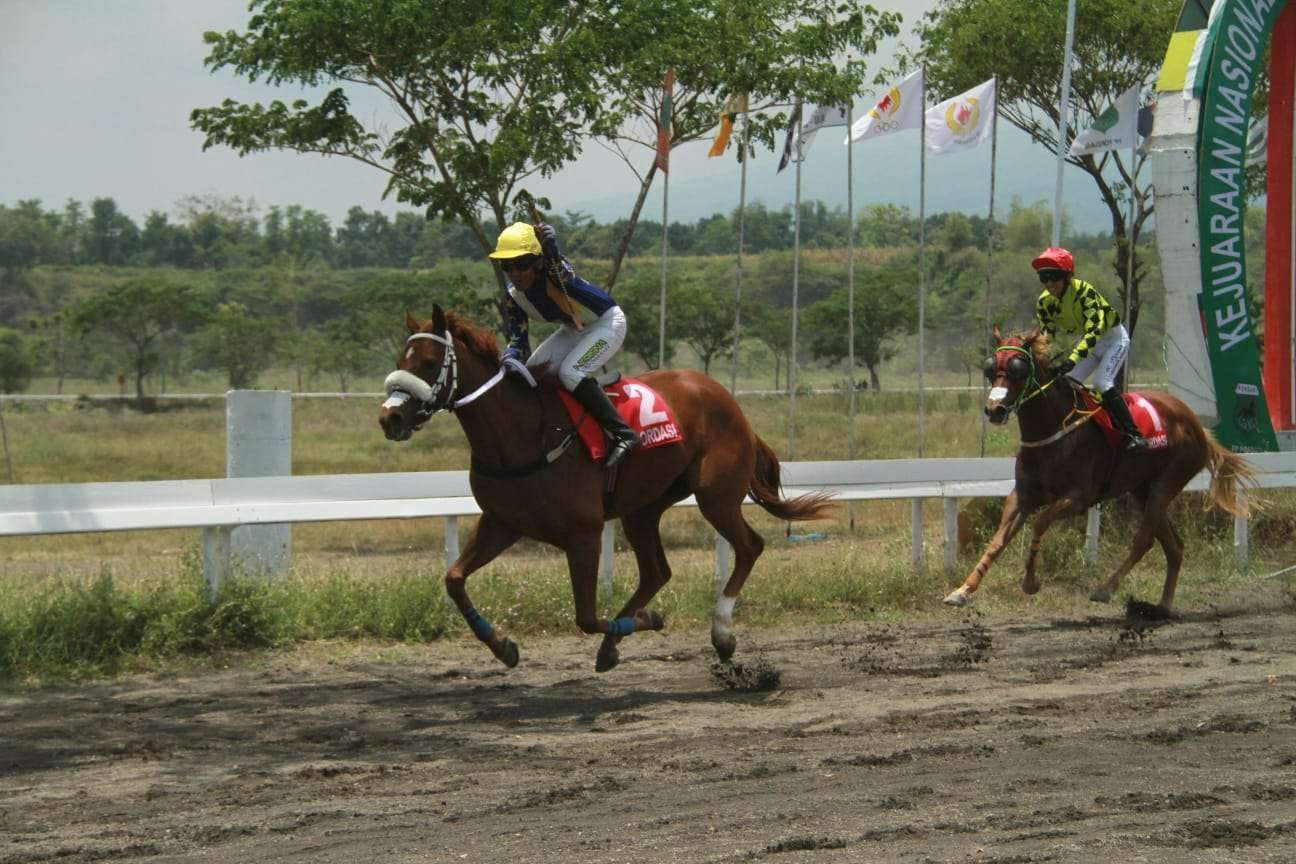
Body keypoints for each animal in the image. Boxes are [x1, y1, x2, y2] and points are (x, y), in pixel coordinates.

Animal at [378, 306, 834, 673]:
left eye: (431, 362)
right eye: (401, 360)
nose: (390, 418)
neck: (523, 434)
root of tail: (726, 398)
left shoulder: (583, 533)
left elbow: (584, 616)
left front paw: (650, 620)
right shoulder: (501, 523)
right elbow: (454, 579)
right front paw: (503, 646)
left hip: (715, 496)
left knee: (749, 547)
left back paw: (720, 635)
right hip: (643, 508)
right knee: (657, 571)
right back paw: (615, 645)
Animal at [943, 323, 1254, 613]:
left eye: (1018, 369)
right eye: (991, 368)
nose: (994, 409)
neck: (1053, 431)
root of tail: (1197, 425)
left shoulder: (1078, 497)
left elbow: (1040, 523)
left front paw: (1030, 581)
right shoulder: (1023, 496)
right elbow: (997, 541)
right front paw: (962, 590)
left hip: (1167, 481)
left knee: (1144, 539)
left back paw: (1106, 588)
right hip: (1142, 488)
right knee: (1174, 546)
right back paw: (1163, 605)